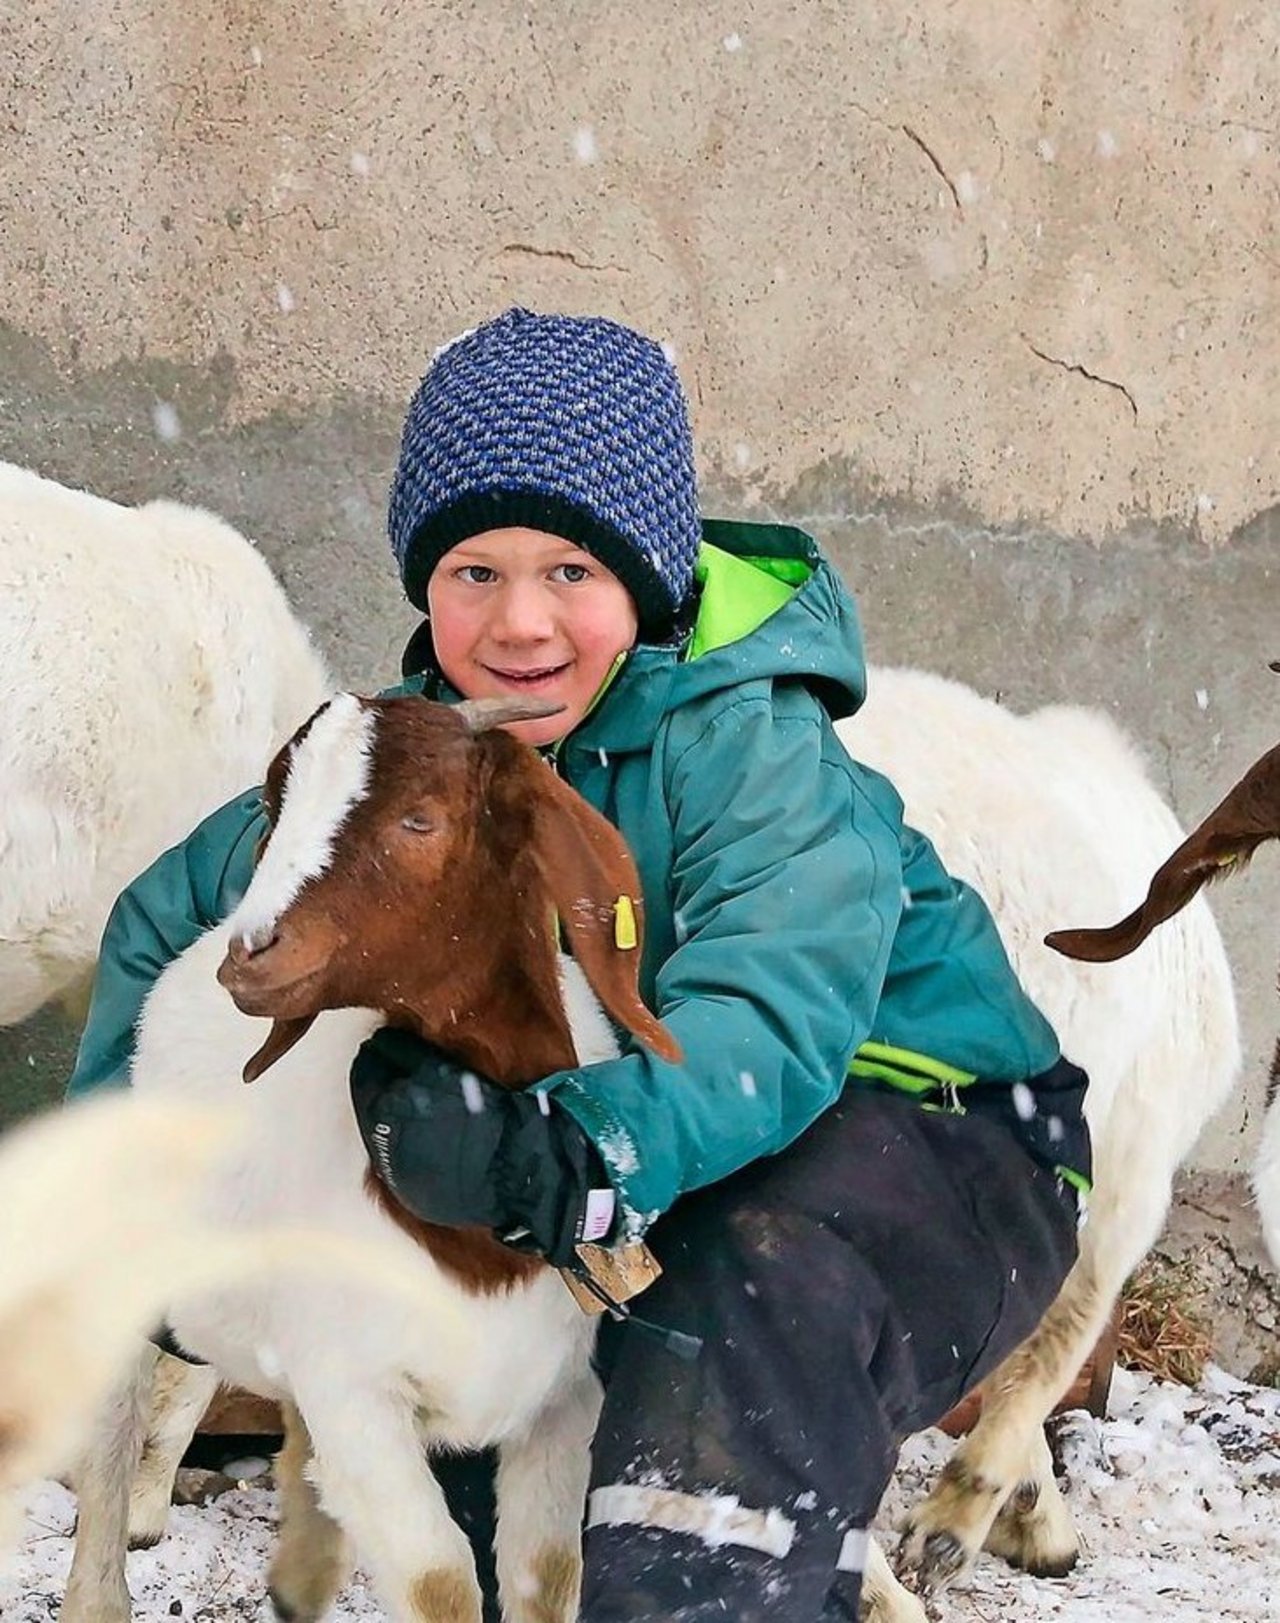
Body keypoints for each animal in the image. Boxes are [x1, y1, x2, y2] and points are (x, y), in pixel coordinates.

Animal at [64, 694, 678, 1623]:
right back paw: (104, 1582)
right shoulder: (356, 1396)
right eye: (272, 809)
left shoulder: (563, 1397)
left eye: (420, 819)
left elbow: (545, 1576)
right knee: (110, 1427)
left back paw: (299, 1575)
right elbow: (439, 1579)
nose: (248, 954)